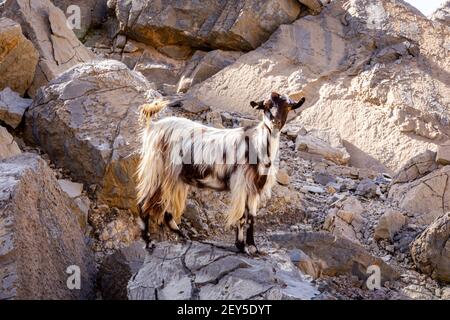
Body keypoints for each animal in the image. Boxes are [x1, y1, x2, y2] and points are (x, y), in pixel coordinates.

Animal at [137, 93, 306, 255]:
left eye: (288, 106)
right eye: (266, 106)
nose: (274, 123)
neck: (257, 145)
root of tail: (153, 126)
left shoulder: (253, 189)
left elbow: (251, 217)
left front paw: (253, 247)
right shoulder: (241, 184)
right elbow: (241, 217)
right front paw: (241, 247)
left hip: (174, 178)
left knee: (166, 210)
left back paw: (182, 236)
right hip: (157, 170)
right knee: (143, 202)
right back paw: (149, 242)